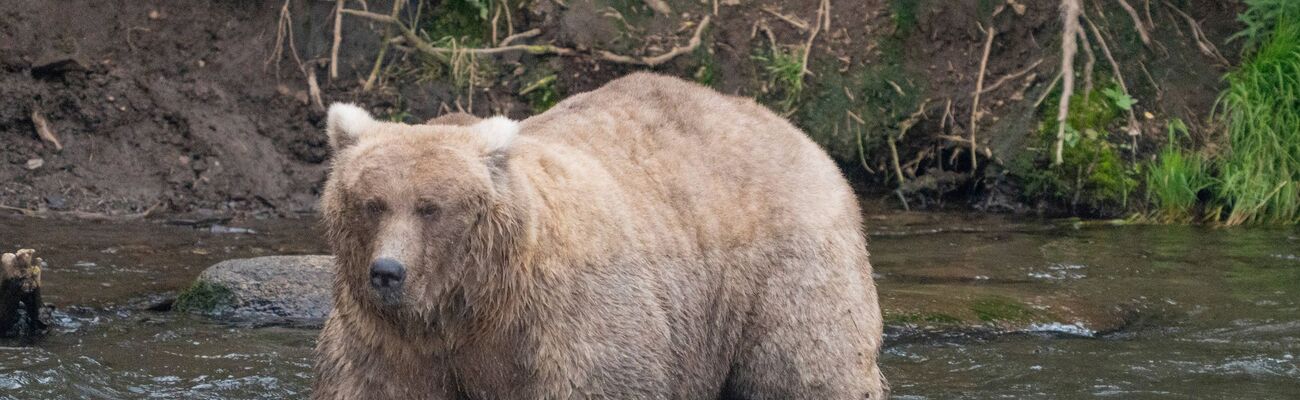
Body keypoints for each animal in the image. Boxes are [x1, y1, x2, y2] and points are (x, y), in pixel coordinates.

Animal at [313, 73, 883, 397]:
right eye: (371, 204)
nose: (388, 273)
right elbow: (370, 384)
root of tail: (795, 132)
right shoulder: (388, 342)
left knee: (807, 369)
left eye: (431, 207)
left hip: (783, 273)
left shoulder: (568, 323)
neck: (473, 306)